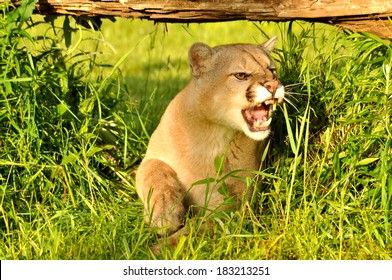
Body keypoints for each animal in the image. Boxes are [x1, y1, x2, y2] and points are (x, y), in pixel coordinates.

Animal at [136, 36, 284, 235]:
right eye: (241, 75)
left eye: (272, 70)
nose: (273, 85)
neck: (212, 133)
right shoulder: (152, 156)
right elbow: (154, 173)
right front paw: (164, 214)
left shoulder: (237, 198)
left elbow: (196, 230)